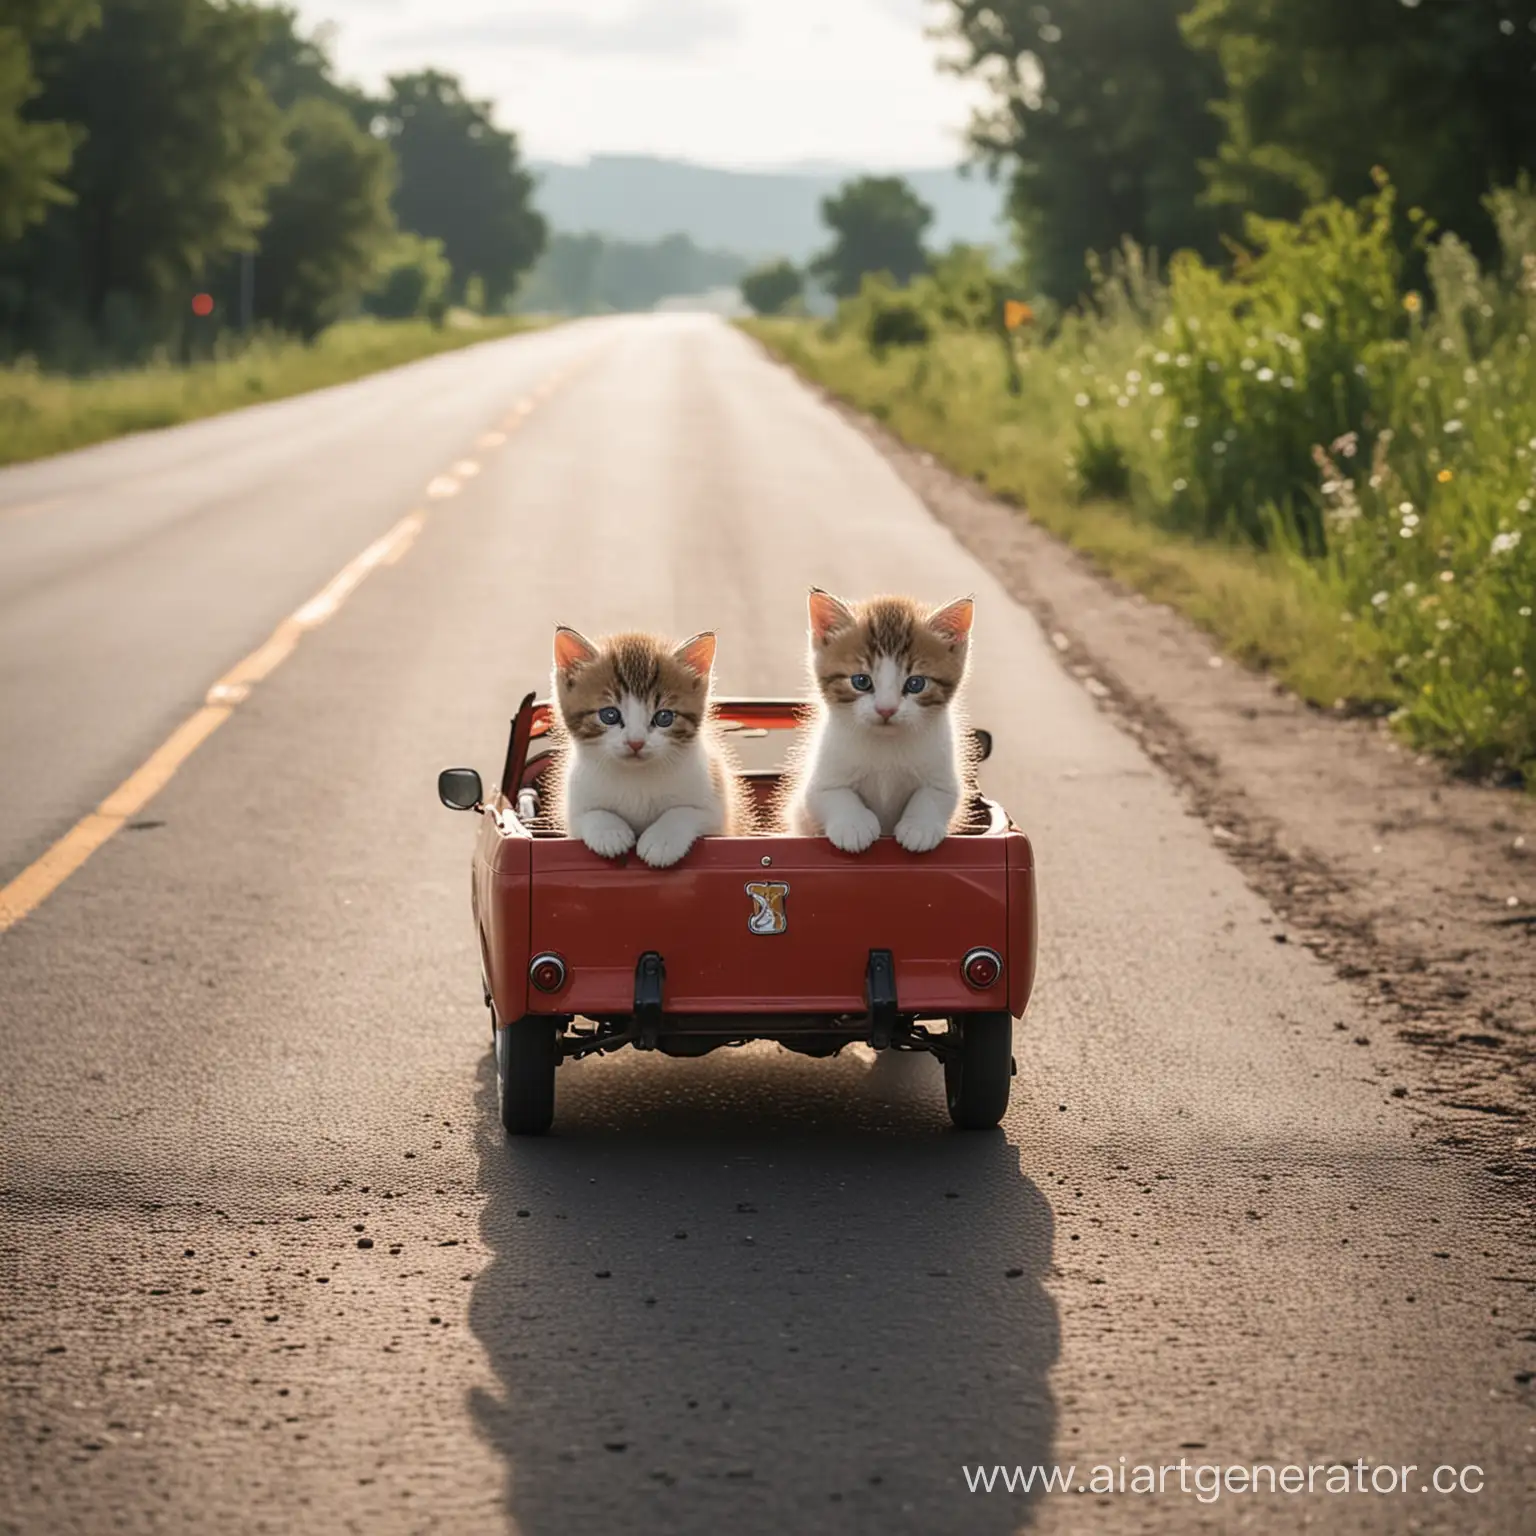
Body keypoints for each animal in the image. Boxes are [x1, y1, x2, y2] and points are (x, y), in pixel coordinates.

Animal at [552, 620, 743, 866]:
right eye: (609, 715)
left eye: (664, 717)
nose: (636, 743)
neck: (636, 777)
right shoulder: (575, 803)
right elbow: (587, 814)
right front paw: (609, 832)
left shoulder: (718, 813)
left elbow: (684, 811)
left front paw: (662, 839)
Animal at [786, 586, 976, 854]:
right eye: (861, 681)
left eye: (915, 683)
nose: (886, 710)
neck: (886, 745)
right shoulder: (815, 786)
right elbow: (831, 795)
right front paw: (853, 825)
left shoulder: (944, 773)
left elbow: (934, 795)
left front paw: (920, 827)